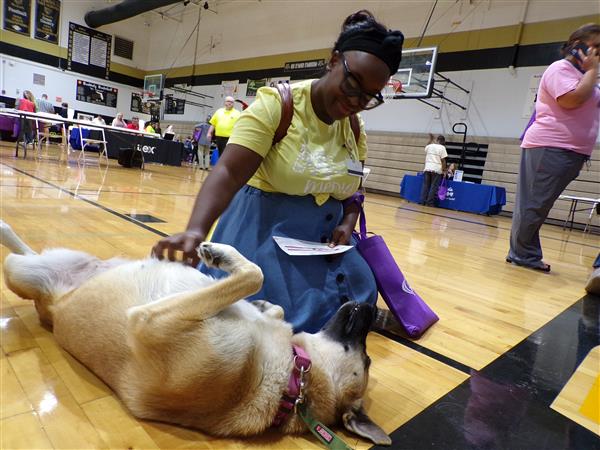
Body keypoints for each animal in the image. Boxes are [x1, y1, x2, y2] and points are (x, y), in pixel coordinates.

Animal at [0, 220, 392, 444]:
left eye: (368, 361)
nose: (372, 309)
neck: (294, 379)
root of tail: (53, 306)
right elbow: (267, 297)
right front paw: (264, 306)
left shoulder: (149, 320)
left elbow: (255, 274)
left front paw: (224, 259)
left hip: (19, 271)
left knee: (15, 253)